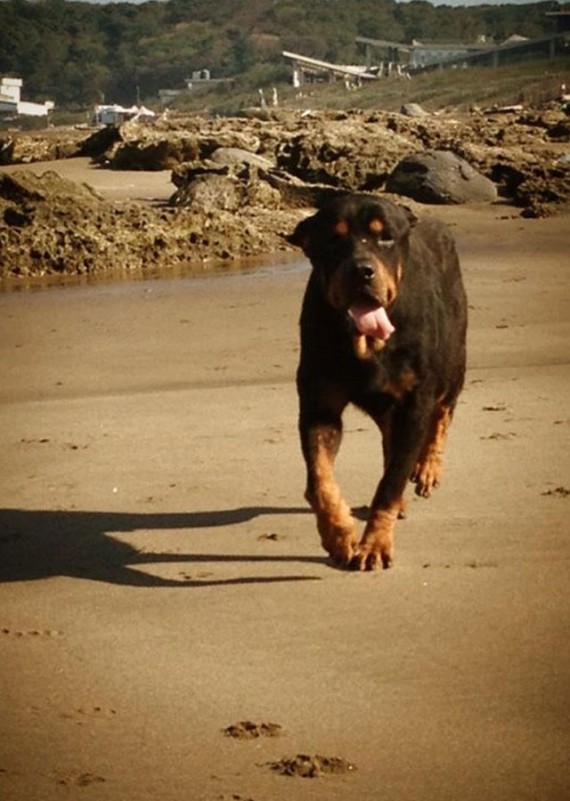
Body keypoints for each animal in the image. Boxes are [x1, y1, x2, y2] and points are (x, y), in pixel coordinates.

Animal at [288, 193, 466, 568]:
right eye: (334, 238)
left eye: (385, 237)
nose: (362, 270)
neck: (365, 343)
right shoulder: (319, 405)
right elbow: (320, 479)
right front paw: (338, 536)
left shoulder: (414, 404)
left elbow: (391, 483)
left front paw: (375, 545)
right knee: (389, 440)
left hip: (453, 359)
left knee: (443, 412)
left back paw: (428, 468)